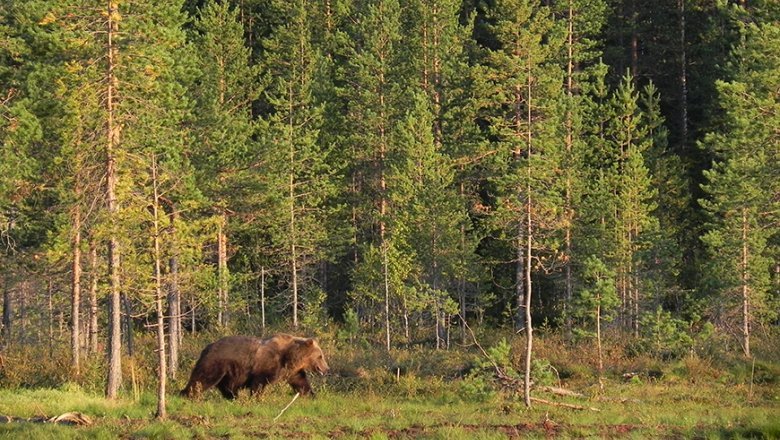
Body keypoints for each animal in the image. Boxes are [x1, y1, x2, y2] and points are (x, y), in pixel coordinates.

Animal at [181, 334, 328, 398]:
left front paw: (311, 395)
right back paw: (186, 393)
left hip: (228, 371)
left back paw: (233, 397)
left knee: (226, 386)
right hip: (216, 363)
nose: (327, 369)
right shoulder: (267, 364)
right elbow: (259, 382)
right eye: (320, 356)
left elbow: (301, 382)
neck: (290, 357)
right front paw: (256, 398)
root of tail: (207, 347)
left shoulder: (291, 371)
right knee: (202, 379)